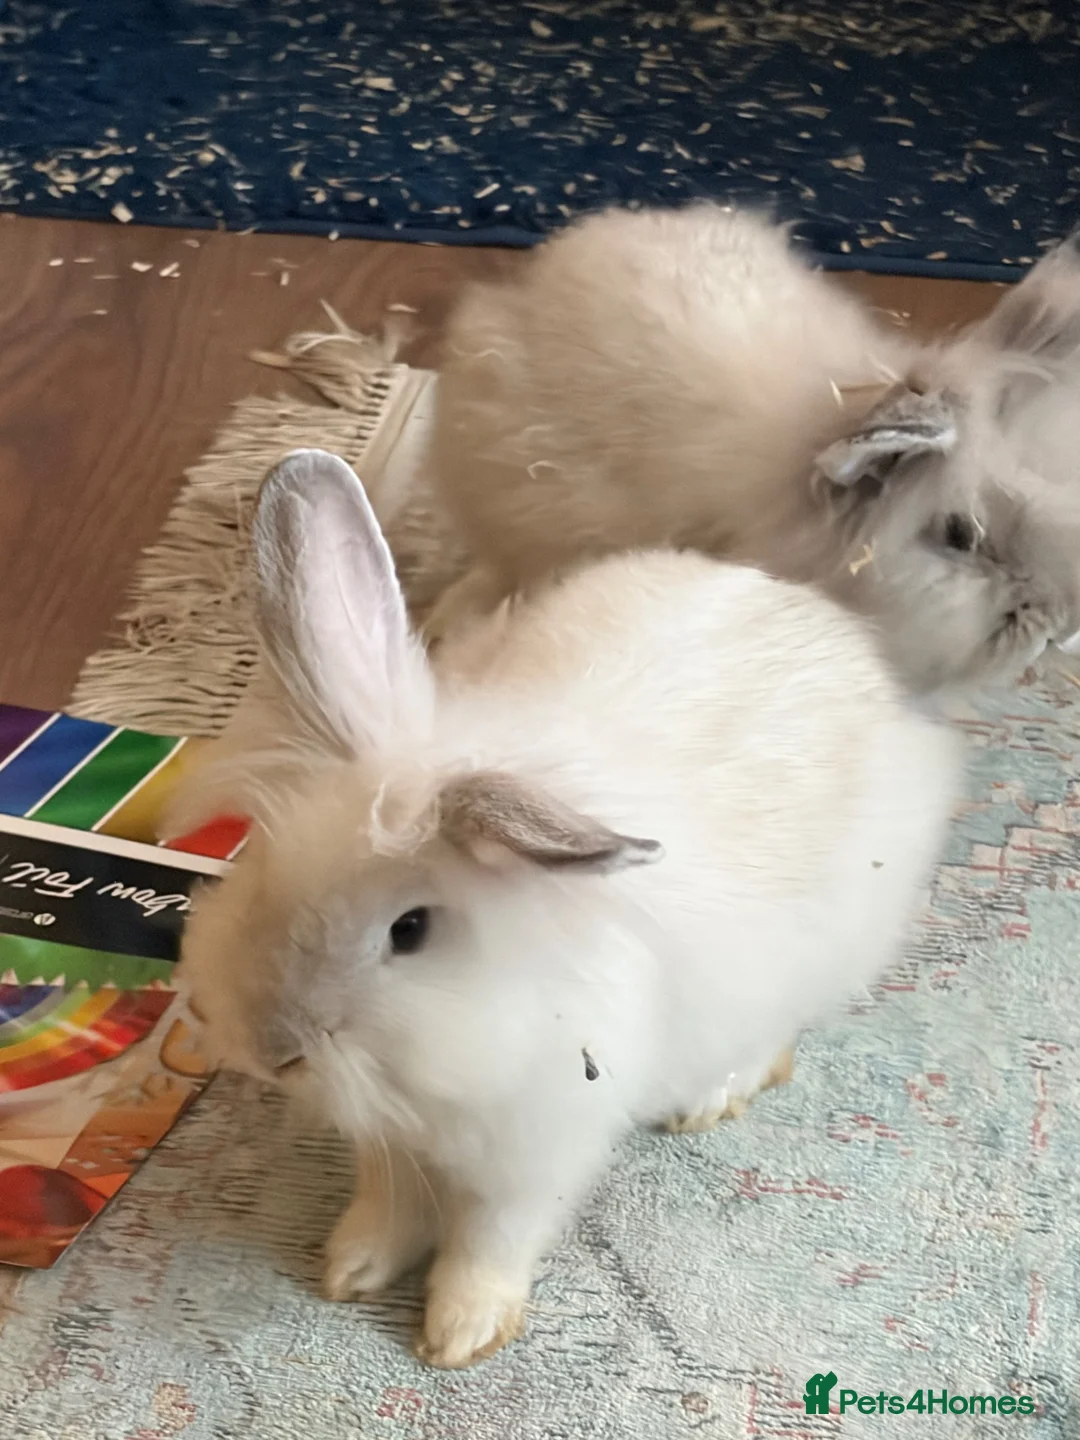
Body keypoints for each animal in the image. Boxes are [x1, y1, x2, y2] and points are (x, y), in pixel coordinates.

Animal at [170, 448, 959, 1368]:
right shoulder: (392, 1141)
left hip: (826, 947)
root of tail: (829, 626)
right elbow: (390, 1204)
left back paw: (711, 1098)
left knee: (775, 1031)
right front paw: (351, 1267)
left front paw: (461, 1333)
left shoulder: (537, 1156)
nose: (275, 1051)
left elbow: (490, 1240)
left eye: (411, 930)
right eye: (263, 862)